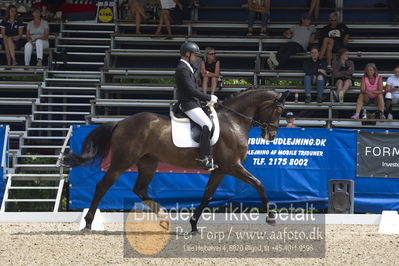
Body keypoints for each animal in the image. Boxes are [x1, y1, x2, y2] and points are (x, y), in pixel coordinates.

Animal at [67, 89, 290, 231]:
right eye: (279, 111)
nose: (271, 136)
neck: (234, 122)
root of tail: (121, 122)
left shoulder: (220, 170)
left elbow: (207, 196)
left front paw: (193, 225)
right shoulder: (233, 166)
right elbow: (259, 184)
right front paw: (270, 217)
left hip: (148, 162)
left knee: (140, 189)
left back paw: (165, 220)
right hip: (122, 161)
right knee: (102, 186)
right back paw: (88, 223)